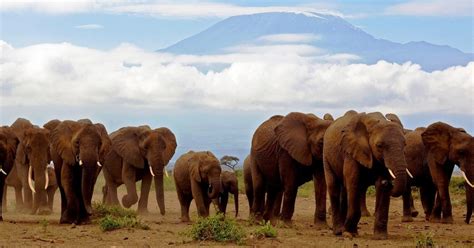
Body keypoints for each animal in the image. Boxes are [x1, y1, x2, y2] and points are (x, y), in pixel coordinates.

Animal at [324, 111, 410, 239]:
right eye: (379, 145)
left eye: (404, 144)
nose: (387, 182)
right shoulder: (351, 152)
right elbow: (353, 183)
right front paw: (350, 233)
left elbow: (381, 190)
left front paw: (380, 237)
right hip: (326, 155)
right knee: (333, 186)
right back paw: (339, 231)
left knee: (344, 189)